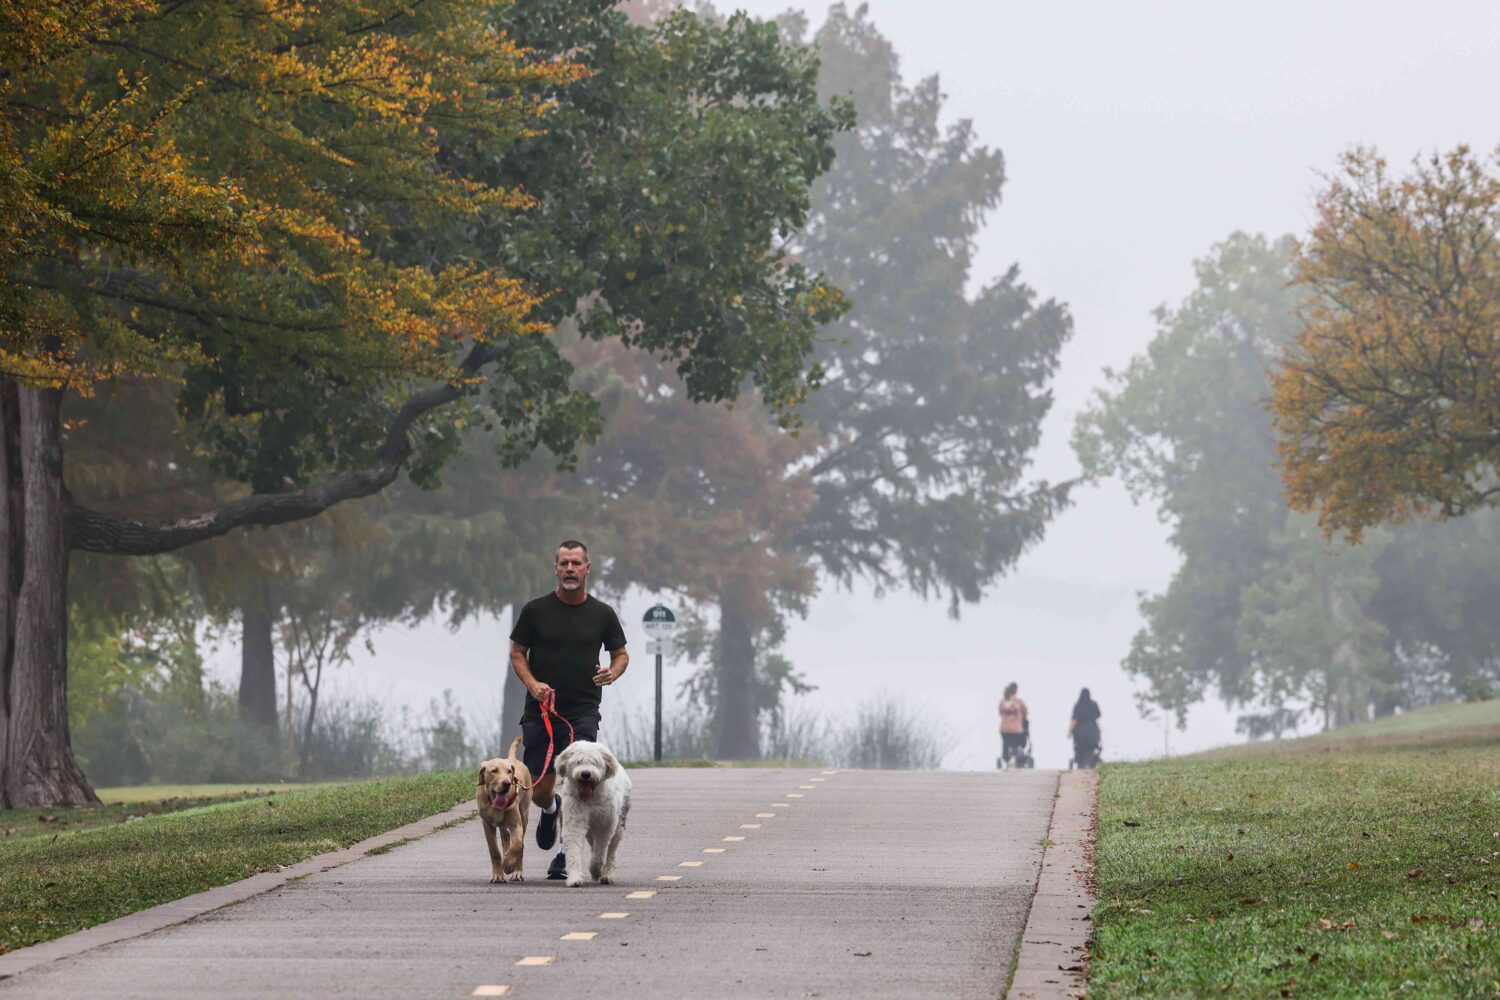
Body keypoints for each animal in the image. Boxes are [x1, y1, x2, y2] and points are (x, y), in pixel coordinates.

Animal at [477, 734, 537, 881]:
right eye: (494, 771)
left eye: (509, 771)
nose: (507, 783)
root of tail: (512, 759)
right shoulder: (487, 825)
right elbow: (494, 851)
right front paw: (498, 875)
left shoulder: (516, 824)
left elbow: (518, 844)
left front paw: (509, 864)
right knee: (505, 837)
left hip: (524, 813)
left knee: (519, 844)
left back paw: (517, 871)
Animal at [555, 740, 630, 887]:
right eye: (578, 761)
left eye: (594, 762)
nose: (585, 774)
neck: (589, 799)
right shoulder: (574, 819)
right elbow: (573, 848)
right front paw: (575, 878)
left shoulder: (605, 823)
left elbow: (600, 851)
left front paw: (596, 870)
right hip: (591, 829)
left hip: (619, 823)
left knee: (611, 850)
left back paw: (607, 874)